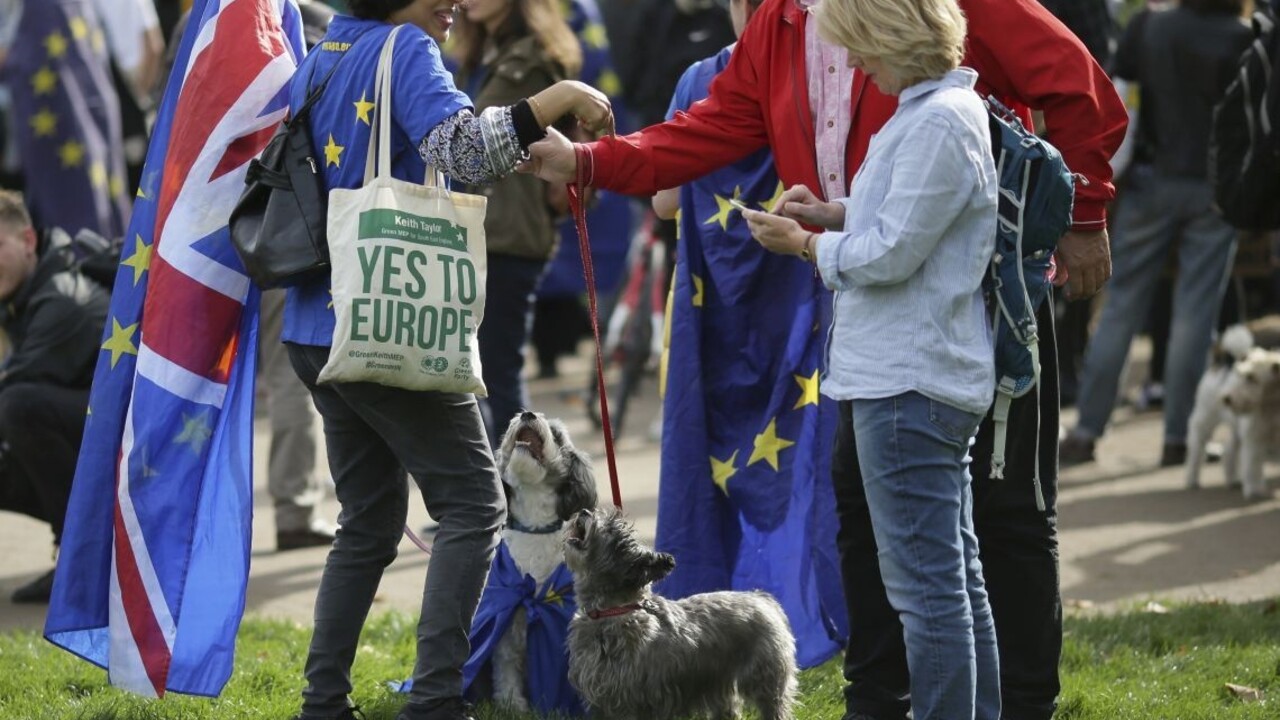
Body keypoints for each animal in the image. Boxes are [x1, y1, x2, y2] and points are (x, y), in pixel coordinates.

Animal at [488, 412, 599, 707]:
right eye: (513, 420)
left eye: (556, 434)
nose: (528, 414)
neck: (535, 528)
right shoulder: (506, 620)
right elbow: (505, 664)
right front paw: (511, 703)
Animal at [563, 504, 793, 717]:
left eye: (611, 529)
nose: (584, 511)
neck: (612, 611)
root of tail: (761, 598)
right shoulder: (601, 702)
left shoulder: (634, 701)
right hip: (720, 684)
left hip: (766, 682)